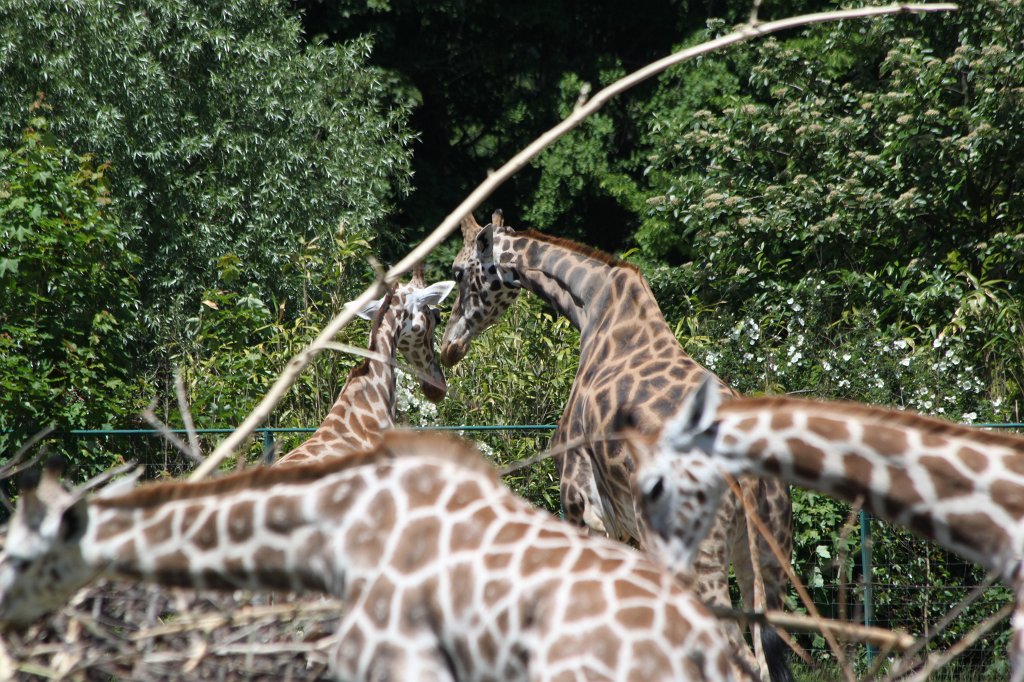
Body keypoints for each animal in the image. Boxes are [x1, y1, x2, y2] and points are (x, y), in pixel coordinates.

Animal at [439, 211, 793, 681]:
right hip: (770, 559)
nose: (449, 347)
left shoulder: (581, 502)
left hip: (699, 556)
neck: (593, 305)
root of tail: (746, 475)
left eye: (458, 272)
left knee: (739, 662)